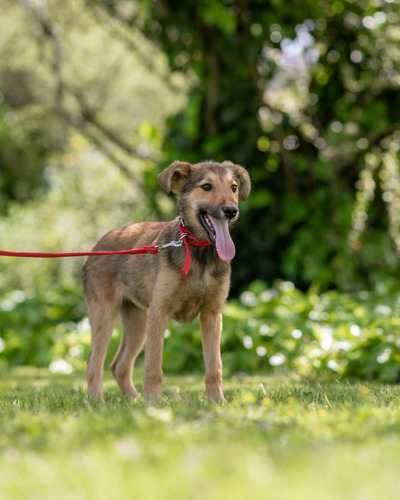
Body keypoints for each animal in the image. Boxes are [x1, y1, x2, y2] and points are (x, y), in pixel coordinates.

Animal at [81, 160, 250, 402]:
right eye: (207, 187)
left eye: (234, 187)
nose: (231, 211)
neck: (199, 255)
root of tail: (95, 247)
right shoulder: (159, 312)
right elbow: (153, 366)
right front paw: (154, 402)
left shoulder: (212, 315)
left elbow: (214, 367)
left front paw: (218, 401)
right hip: (105, 315)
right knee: (93, 365)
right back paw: (98, 401)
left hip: (137, 321)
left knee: (119, 365)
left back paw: (133, 400)